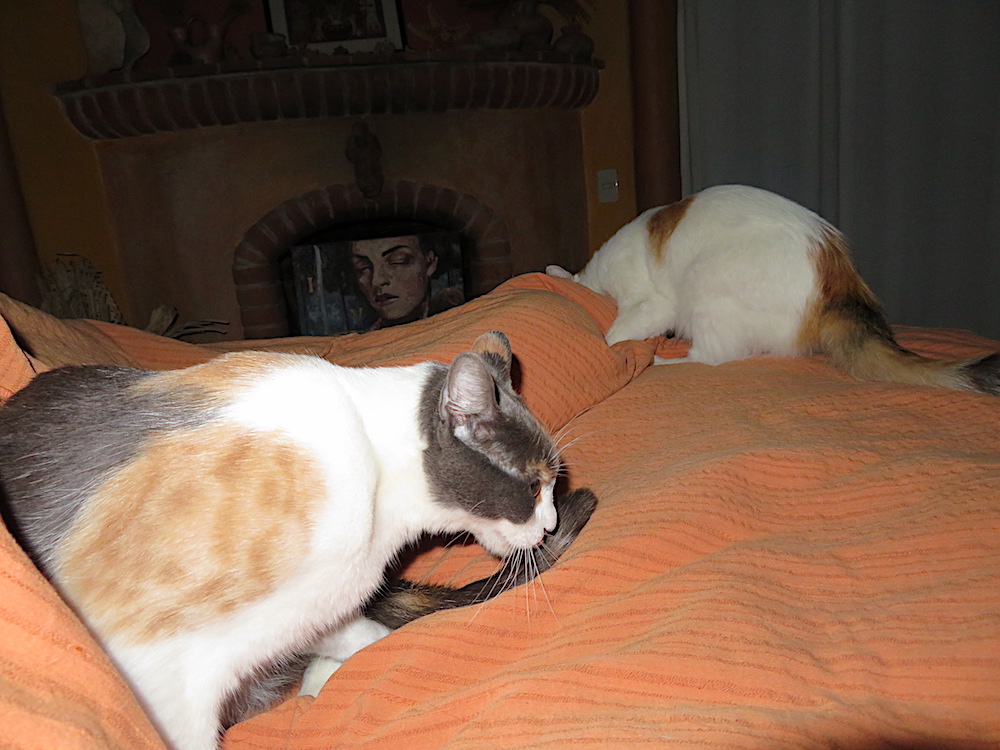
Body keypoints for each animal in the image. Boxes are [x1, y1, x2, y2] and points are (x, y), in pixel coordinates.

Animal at [0, 331, 596, 750]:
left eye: (553, 485)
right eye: (534, 483)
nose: (548, 524)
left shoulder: (313, 610)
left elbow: (356, 635)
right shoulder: (160, 661)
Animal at [548, 184, 1000, 395]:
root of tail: (842, 281)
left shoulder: (651, 303)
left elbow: (616, 334)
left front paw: (618, 349)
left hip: (707, 282)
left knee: (712, 358)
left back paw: (658, 363)